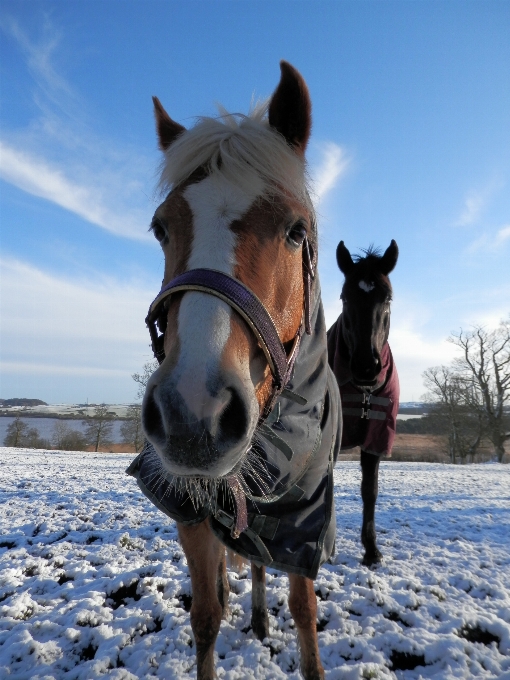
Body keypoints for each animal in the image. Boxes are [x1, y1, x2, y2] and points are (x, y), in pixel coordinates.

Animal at [127, 61, 340, 676]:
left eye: (296, 230)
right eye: (161, 227)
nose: (193, 413)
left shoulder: (304, 523)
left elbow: (304, 610)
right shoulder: (189, 508)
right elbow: (206, 615)